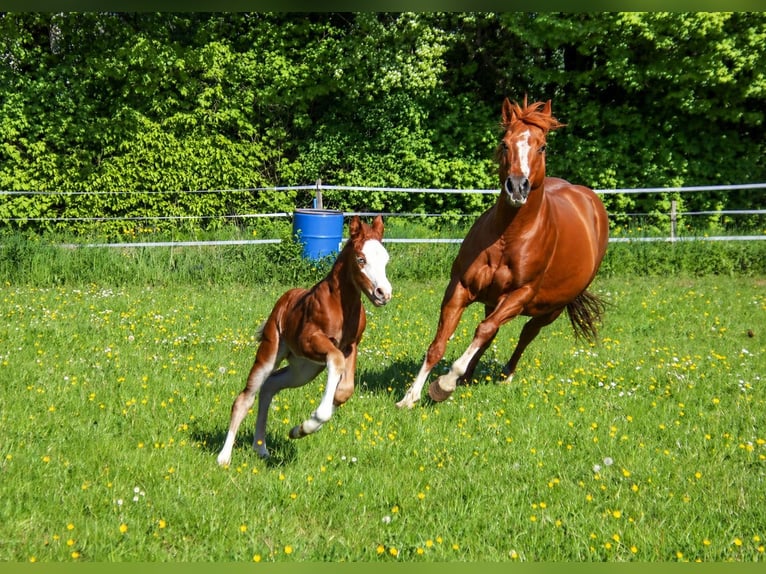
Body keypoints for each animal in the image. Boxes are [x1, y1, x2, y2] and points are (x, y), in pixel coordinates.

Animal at [217, 215, 392, 465]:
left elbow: (344, 390)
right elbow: (335, 360)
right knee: (245, 397)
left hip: (304, 370)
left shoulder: (351, 347)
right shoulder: (310, 340)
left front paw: (300, 429)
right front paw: (312, 422)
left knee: (270, 386)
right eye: (361, 259)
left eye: (386, 259)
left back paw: (261, 448)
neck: (342, 305)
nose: (383, 293)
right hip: (272, 353)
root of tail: (284, 299)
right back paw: (224, 457)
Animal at [397, 97, 609, 408]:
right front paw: (410, 396)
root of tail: (588, 199)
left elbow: (484, 331)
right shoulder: (460, 287)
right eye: (505, 143)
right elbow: (439, 344)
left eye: (542, 146)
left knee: (525, 333)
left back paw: (504, 374)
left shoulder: (520, 295)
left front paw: (444, 384)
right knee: (491, 331)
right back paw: (468, 376)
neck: (508, 237)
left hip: (550, 309)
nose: (517, 187)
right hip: (494, 300)